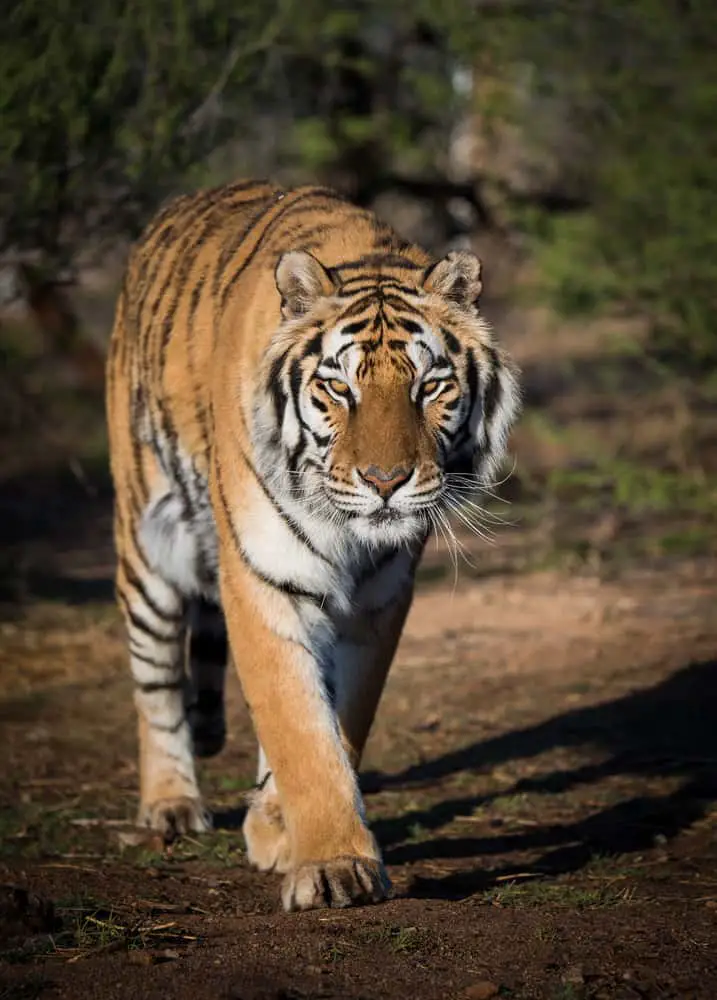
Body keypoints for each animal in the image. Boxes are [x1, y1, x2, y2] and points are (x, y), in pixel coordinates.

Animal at [105, 176, 520, 912]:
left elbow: (338, 721)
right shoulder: (262, 578)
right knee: (155, 684)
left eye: (430, 387)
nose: (385, 481)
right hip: (148, 547)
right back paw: (169, 804)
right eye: (337, 387)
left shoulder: (377, 601)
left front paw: (280, 829)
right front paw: (331, 865)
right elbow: (296, 724)